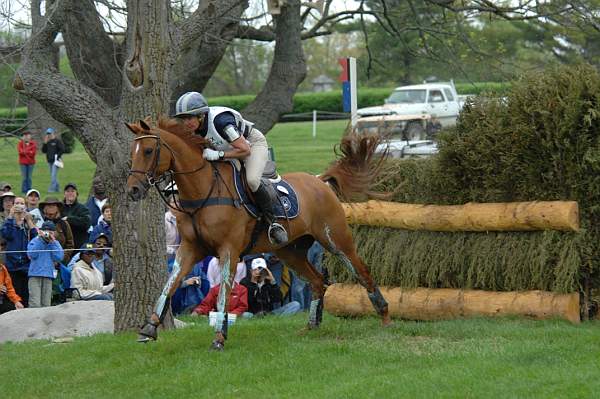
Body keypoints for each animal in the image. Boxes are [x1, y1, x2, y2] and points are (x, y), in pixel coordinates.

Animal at [124, 118, 392, 350]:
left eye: (148, 150)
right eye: (132, 152)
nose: (133, 190)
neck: (203, 191)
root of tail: (319, 181)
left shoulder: (229, 250)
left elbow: (224, 294)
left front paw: (219, 338)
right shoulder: (190, 248)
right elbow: (169, 285)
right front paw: (149, 328)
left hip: (335, 240)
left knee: (362, 273)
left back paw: (385, 318)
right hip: (290, 252)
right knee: (318, 281)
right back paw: (311, 327)